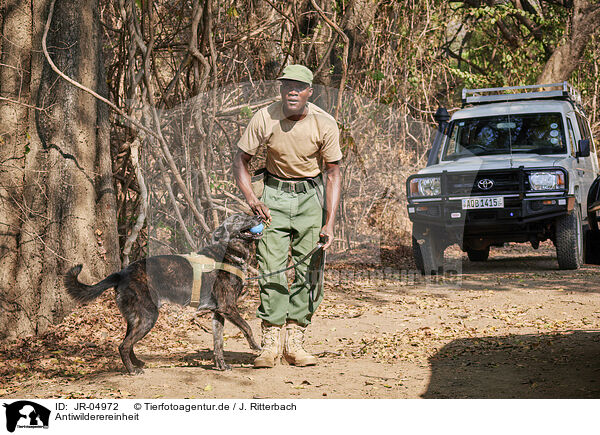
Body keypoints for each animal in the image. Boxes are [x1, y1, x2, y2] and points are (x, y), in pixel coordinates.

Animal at [64, 215, 264, 374]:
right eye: (238, 219)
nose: (259, 216)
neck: (229, 252)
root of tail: (121, 273)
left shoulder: (218, 313)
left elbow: (218, 343)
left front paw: (221, 366)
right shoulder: (228, 308)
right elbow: (247, 327)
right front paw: (256, 346)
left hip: (136, 317)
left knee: (127, 342)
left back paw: (136, 363)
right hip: (149, 316)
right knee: (123, 345)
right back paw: (132, 370)